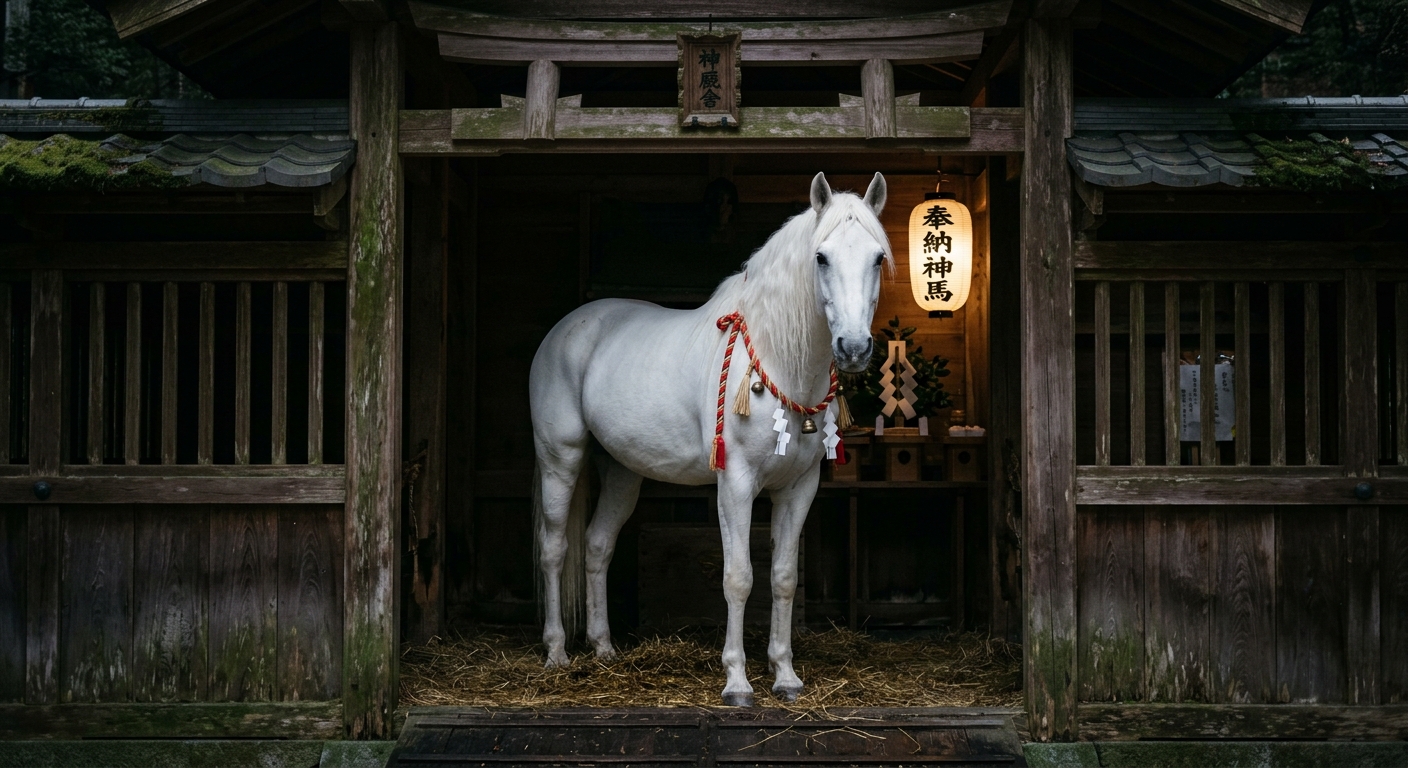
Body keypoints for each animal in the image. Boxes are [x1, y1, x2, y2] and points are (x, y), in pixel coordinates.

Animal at [529, 172, 890, 706]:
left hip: (621, 470)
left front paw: (785, 675)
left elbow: (783, 578)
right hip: (562, 457)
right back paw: (557, 652)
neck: (777, 361)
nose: (853, 348)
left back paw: (604, 649)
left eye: (878, 257)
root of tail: (562, 331)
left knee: (597, 545)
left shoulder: (798, 488)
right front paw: (737, 682)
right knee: (555, 547)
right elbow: (738, 578)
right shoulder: (736, 483)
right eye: (821, 257)